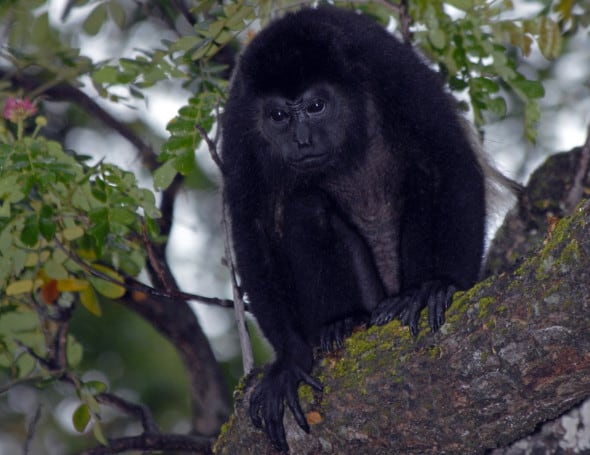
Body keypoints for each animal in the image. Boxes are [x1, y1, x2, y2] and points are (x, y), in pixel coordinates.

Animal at [224, 5, 488, 454]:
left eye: (316, 106)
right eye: (278, 116)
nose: (301, 139)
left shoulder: (389, 67)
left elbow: (449, 158)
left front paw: (440, 283)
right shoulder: (240, 119)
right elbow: (252, 226)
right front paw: (290, 360)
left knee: (422, 173)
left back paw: (411, 297)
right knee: (306, 206)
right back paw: (342, 323)